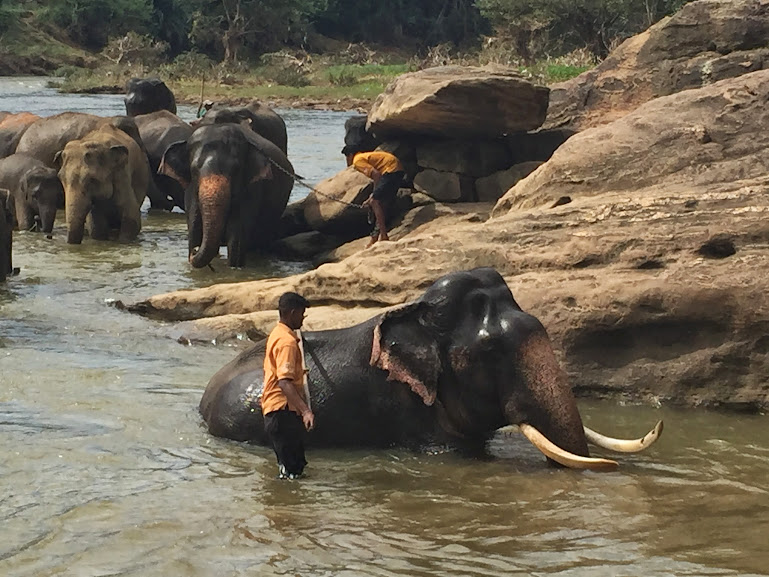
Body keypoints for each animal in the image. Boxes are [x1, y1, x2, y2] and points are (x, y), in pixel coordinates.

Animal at [159, 121, 294, 268]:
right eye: (194, 170)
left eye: (236, 169)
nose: (194, 251)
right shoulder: (190, 191)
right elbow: (194, 230)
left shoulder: (252, 190)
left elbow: (236, 240)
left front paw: (234, 268)